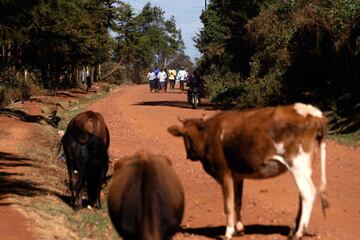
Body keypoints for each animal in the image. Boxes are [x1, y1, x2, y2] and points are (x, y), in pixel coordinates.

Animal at [169, 103, 330, 240]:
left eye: (185, 136)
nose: (189, 155)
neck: (209, 134)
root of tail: (313, 113)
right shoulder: (237, 175)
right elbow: (237, 201)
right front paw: (239, 229)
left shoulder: (224, 172)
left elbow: (228, 204)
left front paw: (228, 232)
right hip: (304, 168)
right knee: (301, 197)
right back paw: (292, 231)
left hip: (297, 165)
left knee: (308, 193)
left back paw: (298, 233)